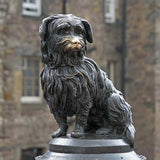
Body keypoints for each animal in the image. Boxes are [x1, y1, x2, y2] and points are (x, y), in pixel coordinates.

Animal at [38, 14, 135, 148]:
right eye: (63, 30)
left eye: (80, 31)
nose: (77, 42)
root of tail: (129, 121)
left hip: (114, 100)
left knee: (116, 126)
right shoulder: (54, 99)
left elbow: (81, 116)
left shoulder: (83, 97)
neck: (66, 65)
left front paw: (78, 132)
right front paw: (60, 132)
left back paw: (104, 130)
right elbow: (60, 119)